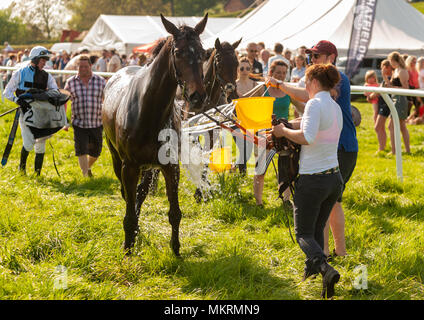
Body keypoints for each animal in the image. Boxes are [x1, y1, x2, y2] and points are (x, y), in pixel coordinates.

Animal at [102, 13, 209, 256]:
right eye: (178, 52)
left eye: (203, 53)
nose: (198, 96)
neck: (148, 110)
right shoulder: (129, 166)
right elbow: (129, 208)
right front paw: (128, 247)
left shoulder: (170, 166)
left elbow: (175, 212)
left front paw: (176, 249)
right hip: (117, 158)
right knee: (128, 194)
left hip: (149, 167)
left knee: (141, 193)